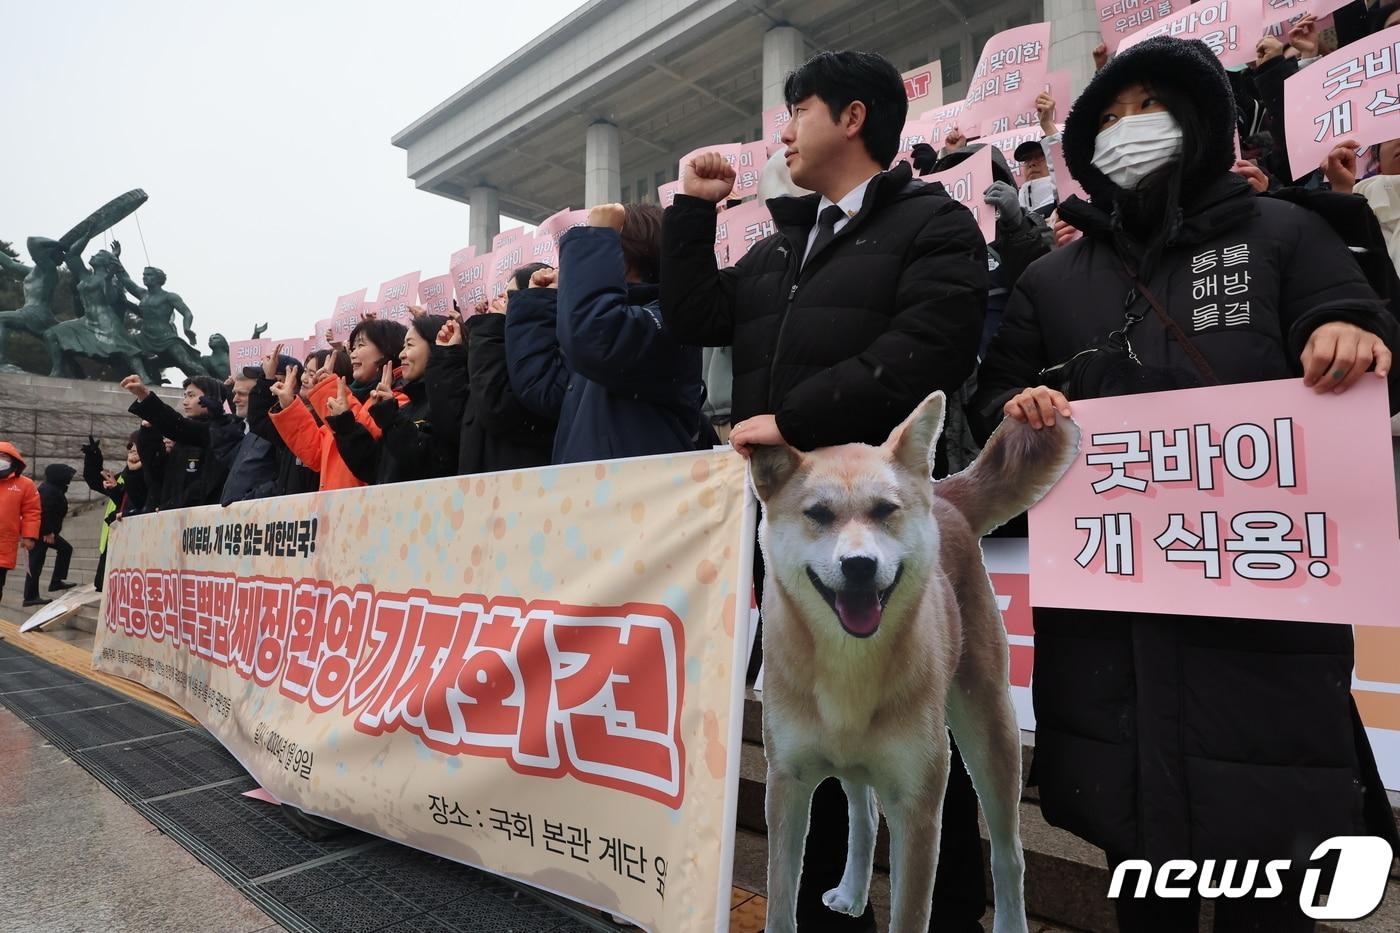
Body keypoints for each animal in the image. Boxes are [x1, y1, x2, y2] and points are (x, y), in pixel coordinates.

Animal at [750, 389, 1075, 930]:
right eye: (818, 514)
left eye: (885, 509)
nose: (859, 566)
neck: (851, 662)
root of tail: (943, 494)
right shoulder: (787, 783)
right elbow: (779, 902)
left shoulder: (918, 805)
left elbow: (911, 911)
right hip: (855, 760)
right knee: (863, 818)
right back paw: (852, 893)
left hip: (990, 732)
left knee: (1008, 853)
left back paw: (1010, 918)